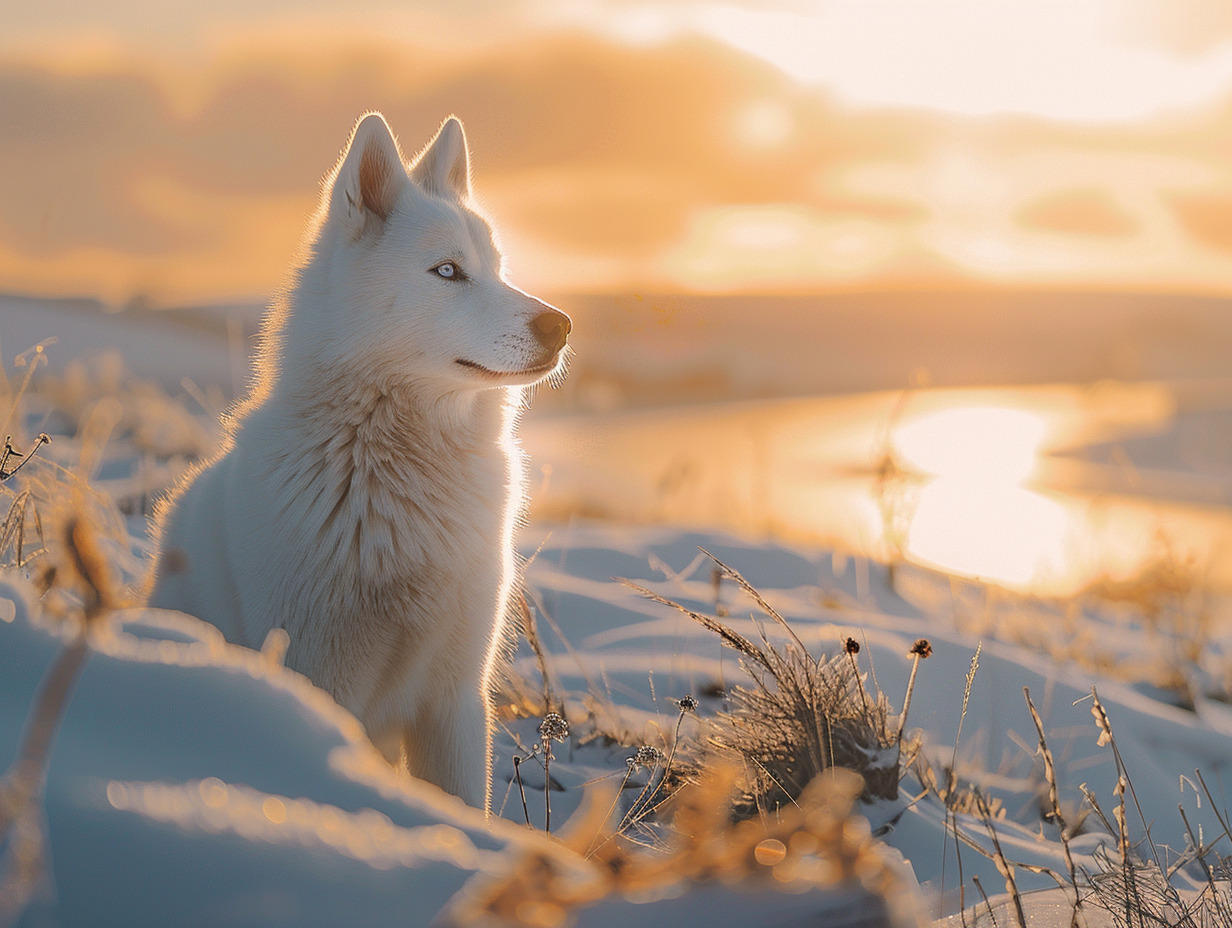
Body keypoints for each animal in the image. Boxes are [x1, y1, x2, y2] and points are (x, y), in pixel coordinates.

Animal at [146, 112, 569, 808]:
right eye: (447, 271)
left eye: (500, 268)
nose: (561, 326)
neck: (393, 471)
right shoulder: (320, 672)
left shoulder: (455, 699)